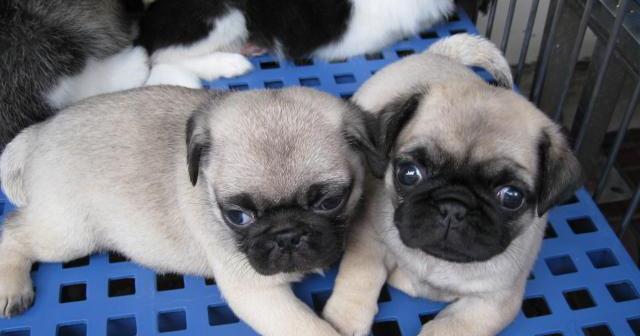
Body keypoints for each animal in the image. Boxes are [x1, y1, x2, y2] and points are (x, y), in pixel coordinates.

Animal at [0, 85, 380, 334]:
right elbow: (311, 329)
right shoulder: (257, 291)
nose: (287, 235)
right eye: (237, 216)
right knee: (14, 230)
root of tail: (38, 133)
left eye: (329, 202)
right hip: (70, 234)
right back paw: (11, 287)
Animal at [322, 34, 584, 336]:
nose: (453, 206)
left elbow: (446, 327)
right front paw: (343, 321)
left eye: (511, 196)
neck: (436, 262)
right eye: (409, 174)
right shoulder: (368, 239)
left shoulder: (492, 303)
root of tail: (439, 55)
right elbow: (360, 278)